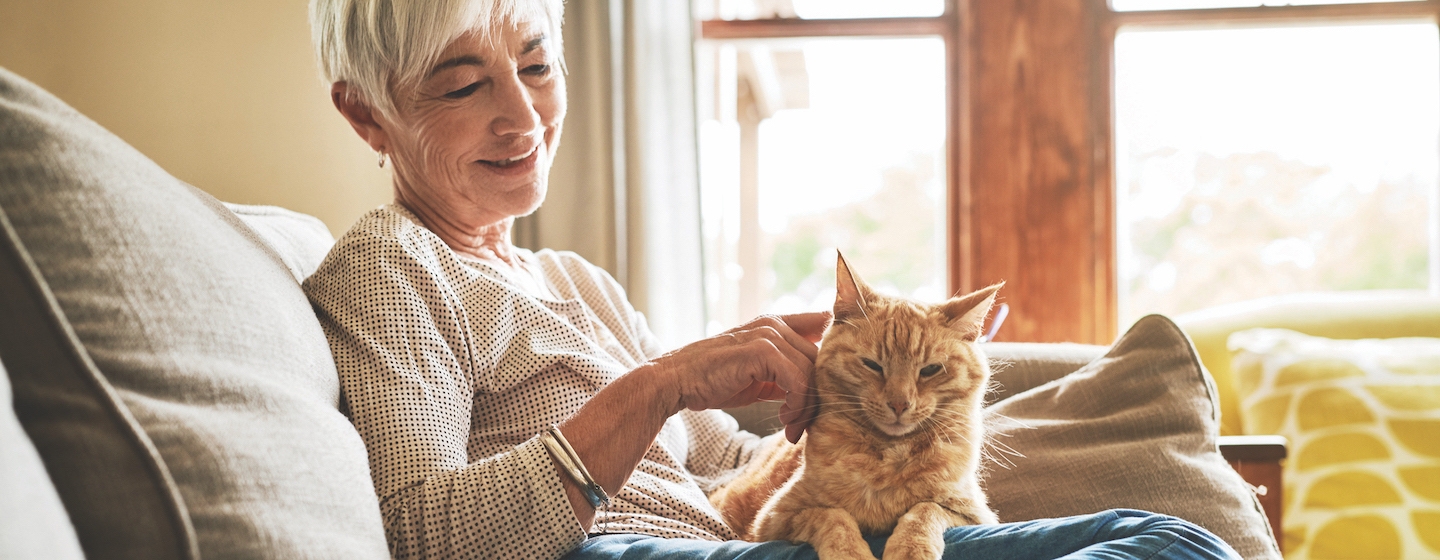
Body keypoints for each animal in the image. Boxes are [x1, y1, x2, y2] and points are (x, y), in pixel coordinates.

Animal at [708, 254, 1002, 558]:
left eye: (931, 369)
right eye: (872, 365)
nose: (899, 404)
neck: (887, 455)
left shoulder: (973, 513)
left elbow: (925, 509)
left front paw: (909, 549)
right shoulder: (774, 520)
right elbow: (833, 516)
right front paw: (850, 552)